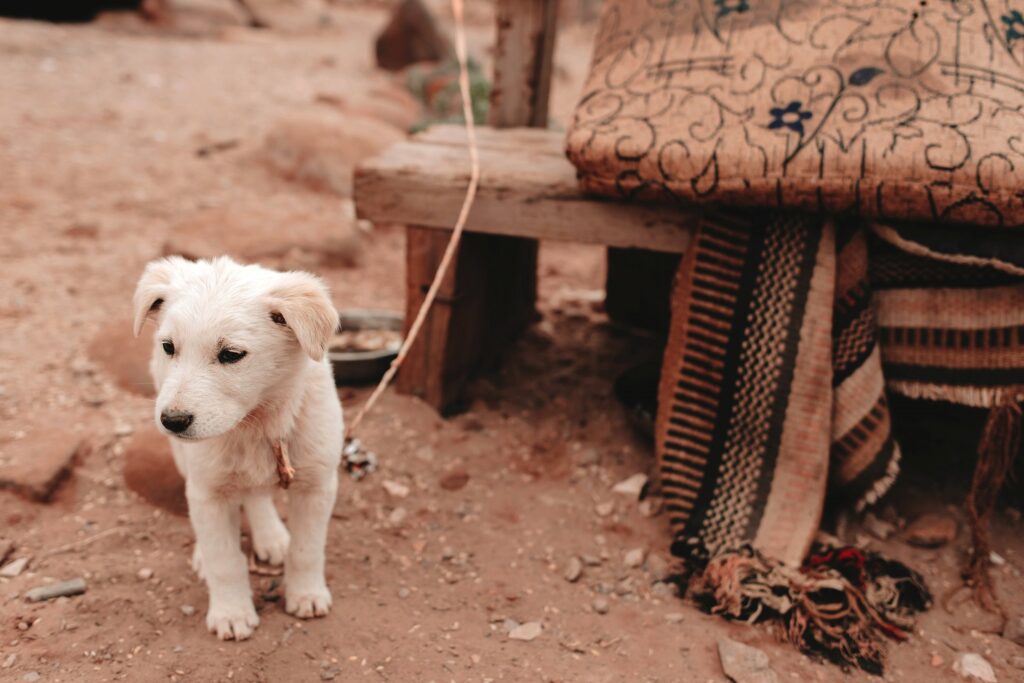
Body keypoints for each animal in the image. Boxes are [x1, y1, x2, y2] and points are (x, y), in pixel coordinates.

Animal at [132, 254, 344, 643]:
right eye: (169, 347)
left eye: (231, 354)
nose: (172, 420)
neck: (254, 423)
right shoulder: (208, 490)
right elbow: (225, 560)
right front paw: (232, 613)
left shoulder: (318, 484)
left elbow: (307, 549)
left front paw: (306, 594)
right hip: (184, 458)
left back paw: (272, 536)